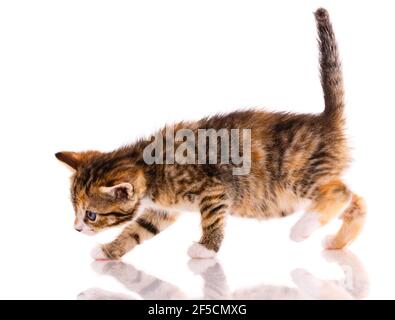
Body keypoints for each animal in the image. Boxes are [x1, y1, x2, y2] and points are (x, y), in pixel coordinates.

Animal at [55, 8, 366, 260]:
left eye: (91, 215)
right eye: (75, 210)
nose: (76, 228)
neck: (149, 166)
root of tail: (326, 120)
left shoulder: (214, 188)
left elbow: (212, 219)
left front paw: (205, 249)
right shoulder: (161, 210)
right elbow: (138, 229)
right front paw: (110, 250)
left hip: (297, 177)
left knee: (340, 192)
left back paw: (303, 228)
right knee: (357, 202)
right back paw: (337, 243)